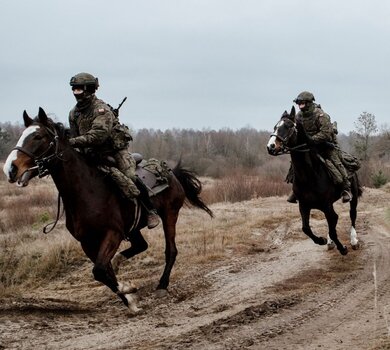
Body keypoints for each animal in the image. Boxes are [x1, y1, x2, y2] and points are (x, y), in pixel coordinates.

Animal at [2, 108, 213, 314]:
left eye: (38, 136)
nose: (10, 169)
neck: (87, 191)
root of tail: (171, 172)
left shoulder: (112, 233)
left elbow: (100, 270)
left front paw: (128, 290)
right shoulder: (87, 242)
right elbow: (103, 272)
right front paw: (130, 299)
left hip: (170, 214)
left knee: (171, 250)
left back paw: (162, 285)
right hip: (133, 229)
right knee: (140, 246)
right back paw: (121, 262)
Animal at [266, 105, 362, 256]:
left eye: (288, 126)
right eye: (275, 126)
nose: (271, 147)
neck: (309, 176)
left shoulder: (327, 206)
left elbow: (333, 227)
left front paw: (343, 248)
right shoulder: (304, 206)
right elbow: (306, 228)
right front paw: (322, 240)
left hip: (354, 197)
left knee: (352, 215)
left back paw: (353, 241)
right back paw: (330, 242)